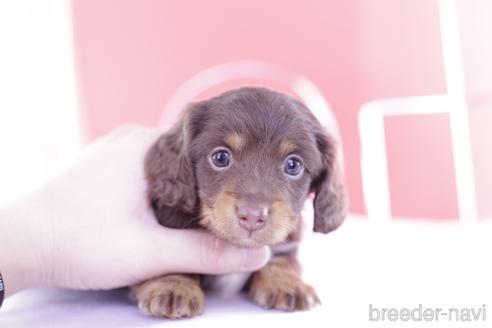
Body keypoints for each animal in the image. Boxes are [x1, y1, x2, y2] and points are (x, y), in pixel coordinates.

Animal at [130, 86, 346, 318]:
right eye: (220, 158)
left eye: (293, 165)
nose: (252, 216)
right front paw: (174, 286)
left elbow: (282, 258)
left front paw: (286, 282)